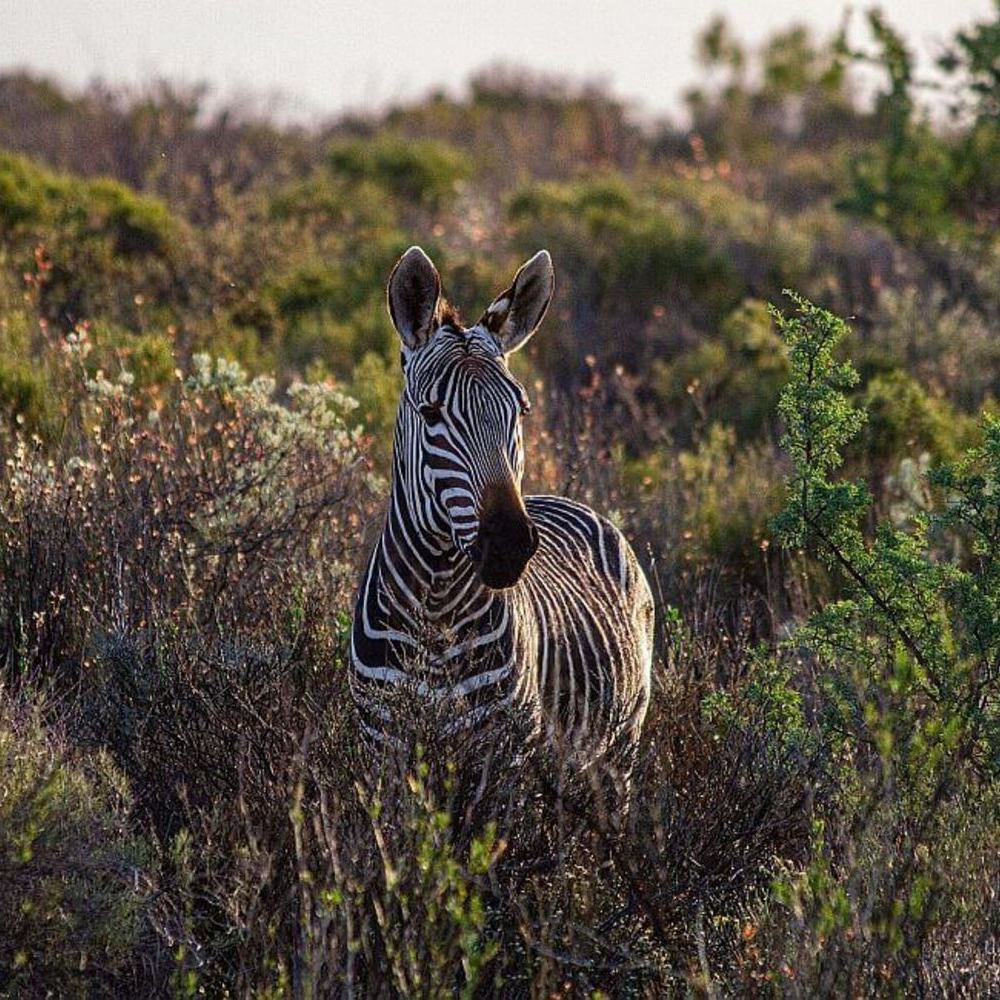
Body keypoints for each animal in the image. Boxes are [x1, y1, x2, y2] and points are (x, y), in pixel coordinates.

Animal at [350, 246, 654, 792]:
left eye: (522, 410)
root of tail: (566, 500)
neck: (434, 611)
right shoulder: (381, 753)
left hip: (620, 747)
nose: (510, 544)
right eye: (431, 413)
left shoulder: (502, 761)